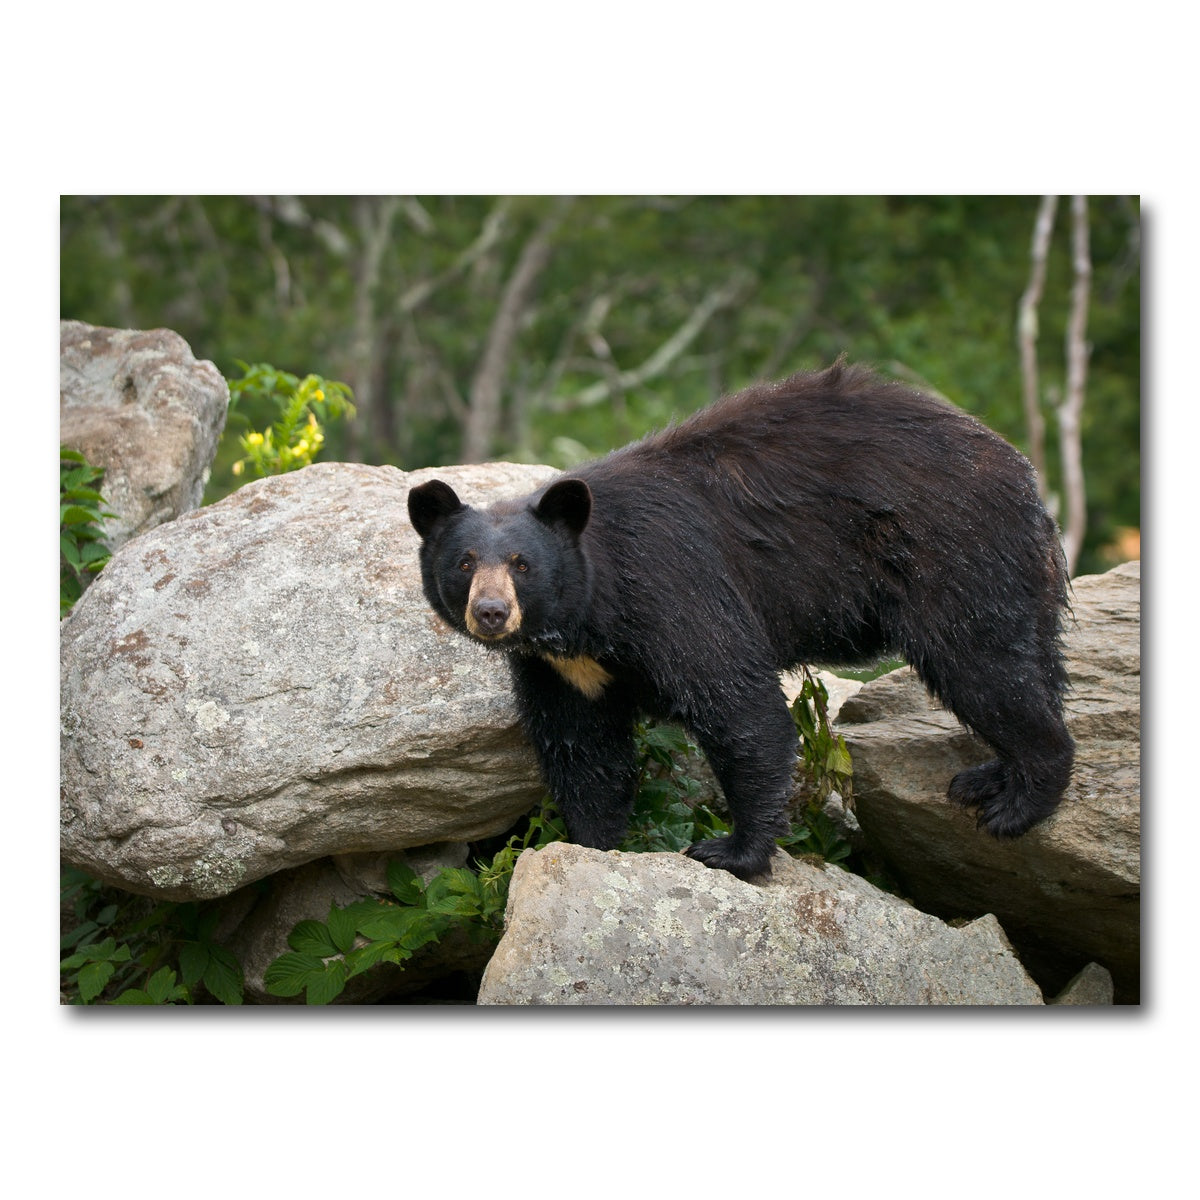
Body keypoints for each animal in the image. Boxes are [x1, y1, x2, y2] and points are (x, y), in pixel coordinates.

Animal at [408, 359, 1074, 882]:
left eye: (522, 564)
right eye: (465, 562)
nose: (491, 612)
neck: (589, 616)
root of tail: (1023, 475)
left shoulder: (671, 588)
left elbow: (738, 707)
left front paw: (732, 850)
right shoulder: (561, 669)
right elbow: (583, 749)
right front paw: (591, 843)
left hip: (952, 554)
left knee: (983, 666)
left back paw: (1017, 802)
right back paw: (988, 777)